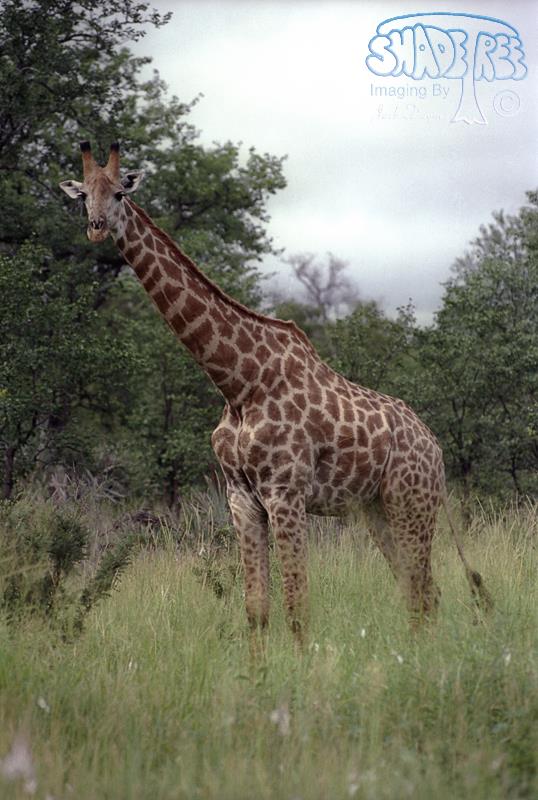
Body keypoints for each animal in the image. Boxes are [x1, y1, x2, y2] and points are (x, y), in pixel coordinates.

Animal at [60, 142, 491, 644]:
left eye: (119, 194)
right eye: (83, 196)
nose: (96, 228)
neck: (238, 383)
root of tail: (435, 446)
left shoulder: (286, 494)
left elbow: (296, 607)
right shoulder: (242, 499)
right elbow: (257, 610)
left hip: (412, 502)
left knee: (424, 590)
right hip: (377, 508)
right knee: (418, 590)